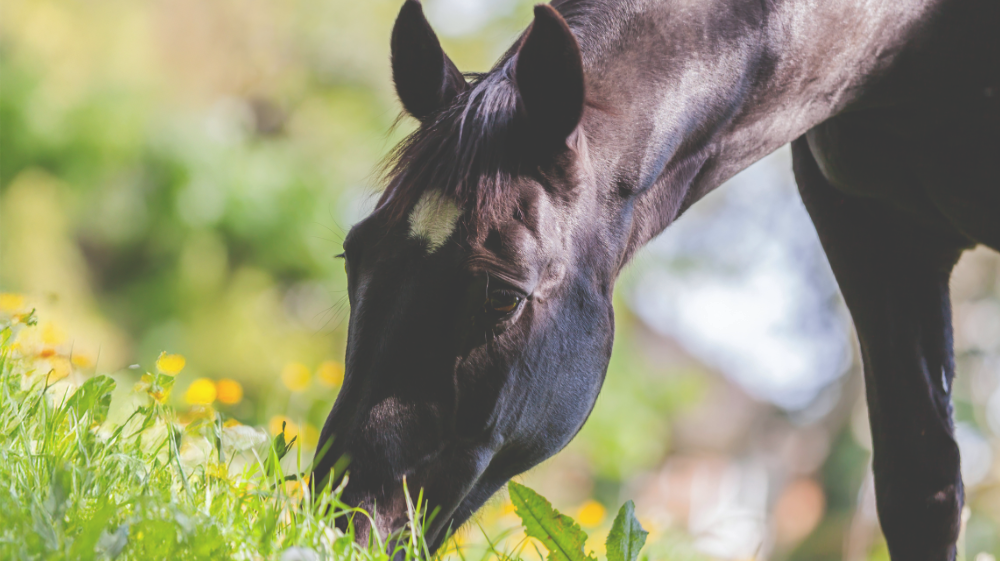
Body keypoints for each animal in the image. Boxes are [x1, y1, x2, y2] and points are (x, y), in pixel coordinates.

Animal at [312, 0, 999, 558]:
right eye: (353, 254)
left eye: (504, 296)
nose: (338, 522)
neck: (919, 37)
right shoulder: (874, 232)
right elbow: (918, 490)